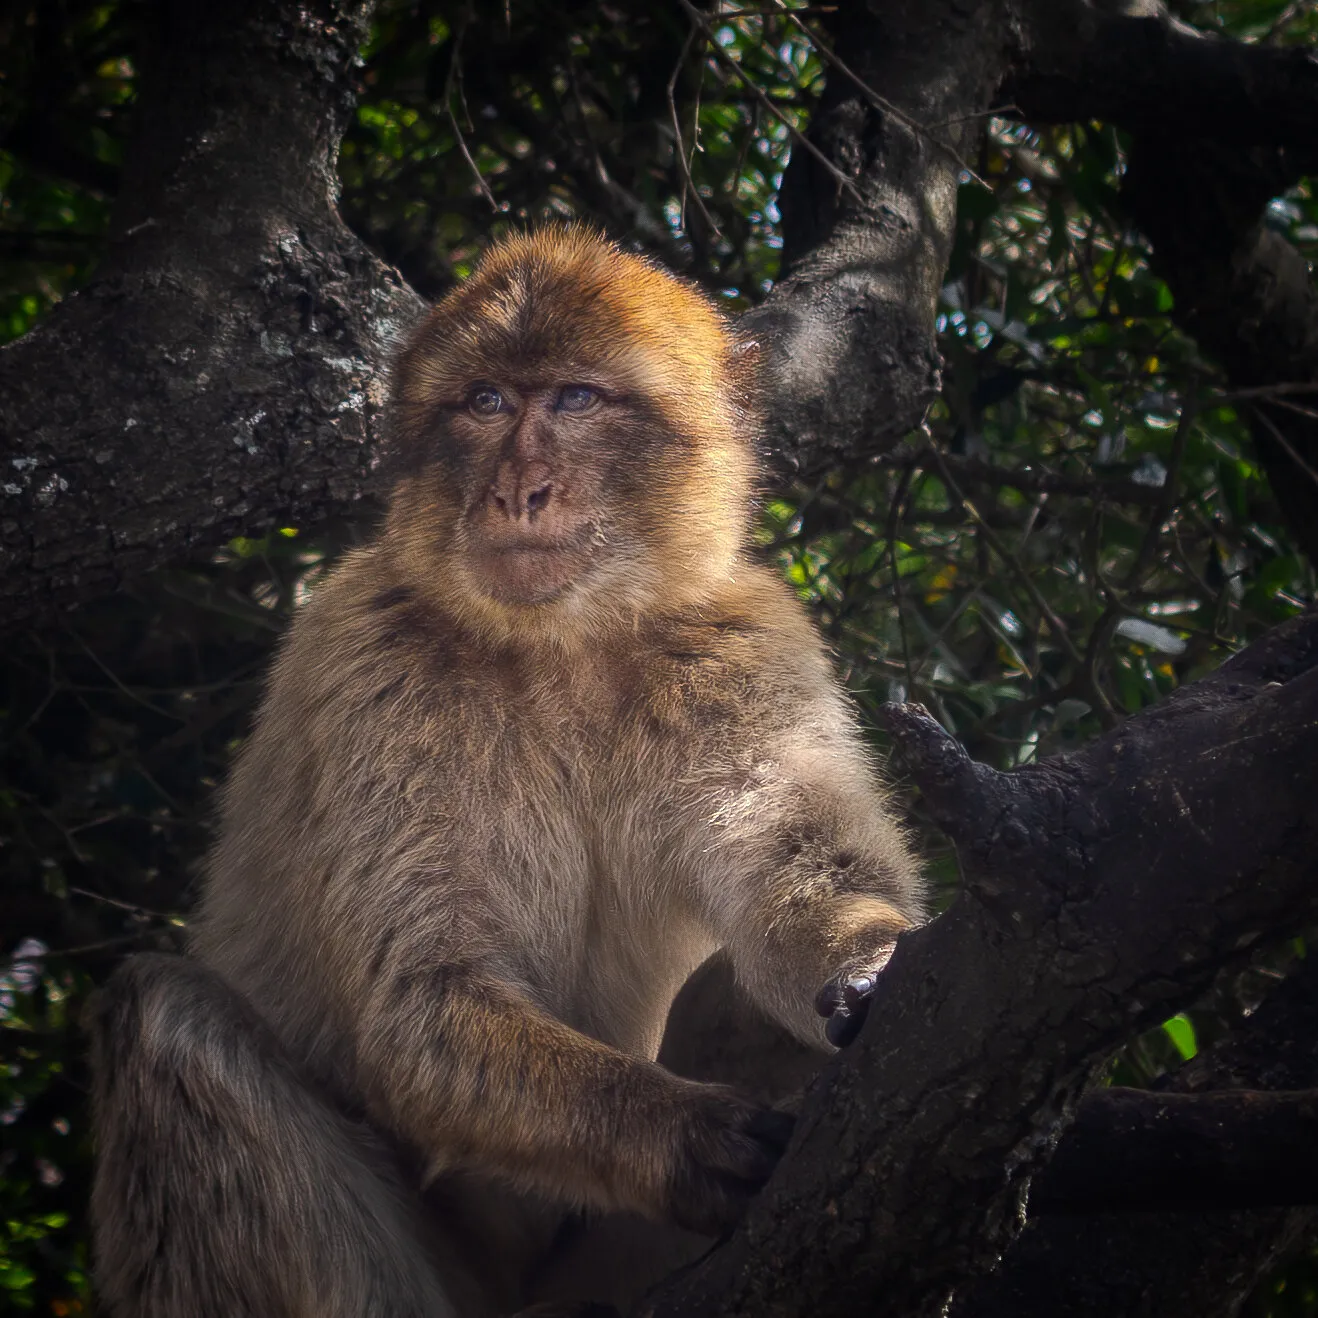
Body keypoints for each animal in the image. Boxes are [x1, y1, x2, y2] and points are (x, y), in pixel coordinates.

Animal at [87, 227, 925, 1318]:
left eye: (573, 399)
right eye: (485, 401)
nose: (517, 492)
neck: (563, 641)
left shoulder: (740, 643)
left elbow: (804, 875)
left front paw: (869, 960)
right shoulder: (368, 662)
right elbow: (423, 999)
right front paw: (678, 1132)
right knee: (163, 1018)